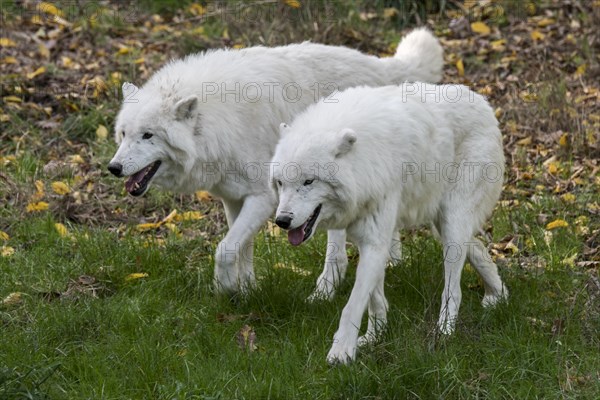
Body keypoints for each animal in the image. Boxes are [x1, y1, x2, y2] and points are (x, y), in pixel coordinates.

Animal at [108, 28, 442, 296]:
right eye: (124, 134)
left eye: (148, 135)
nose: (113, 168)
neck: (216, 121)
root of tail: (379, 65)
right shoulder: (233, 199)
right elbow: (242, 248)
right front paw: (247, 289)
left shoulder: (264, 198)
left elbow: (225, 248)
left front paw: (225, 289)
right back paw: (393, 263)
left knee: (338, 253)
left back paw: (324, 292)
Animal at [274, 83, 508, 364]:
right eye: (280, 183)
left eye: (308, 181)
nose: (282, 220)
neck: (362, 162)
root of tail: (484, 103)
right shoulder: (368, 237)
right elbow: (375, 300)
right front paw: (374, 337)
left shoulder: (376, 240)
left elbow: (353, 304)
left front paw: (341, 353)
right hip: (441, 224)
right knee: (477, 248)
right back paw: (498, 294)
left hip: (452, 223)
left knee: (453, 288)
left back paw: (444, 331)